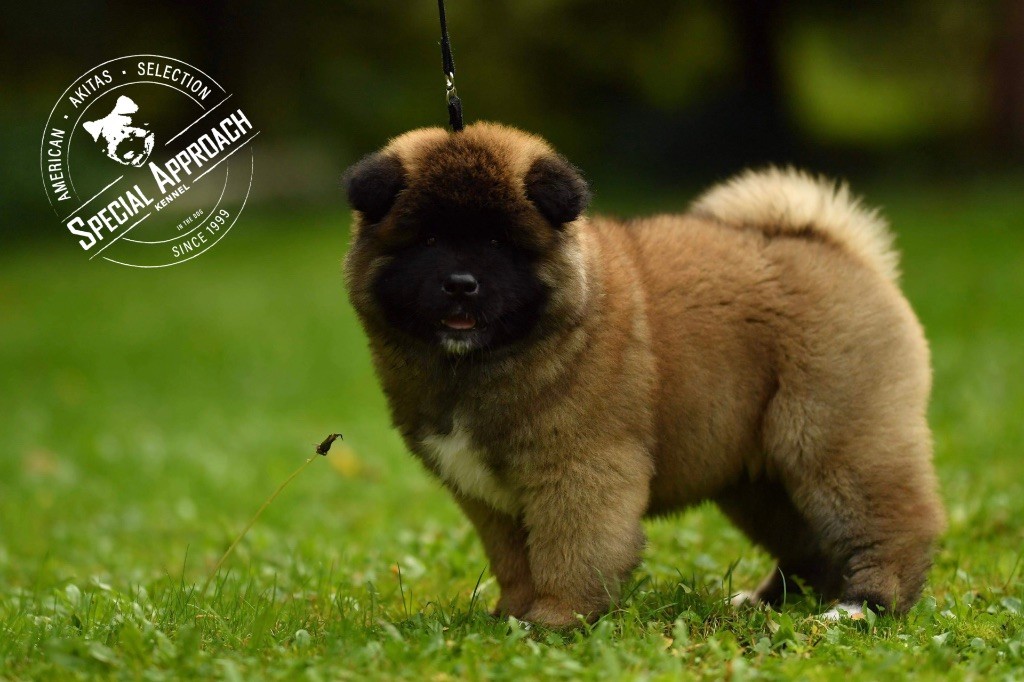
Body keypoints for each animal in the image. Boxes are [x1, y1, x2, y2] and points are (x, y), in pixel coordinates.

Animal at [341, 122, 944, 627]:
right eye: (428, 241)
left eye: (497, 243)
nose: (461, 284)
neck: (478, 364)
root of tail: (835, 247)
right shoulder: (489, 495)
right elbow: (516, 562)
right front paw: (510, 618)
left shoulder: (580, 470)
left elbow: (570, 553)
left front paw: (554, 621)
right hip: (758, 476)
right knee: (809, 544)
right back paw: (765, 601)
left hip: (832, 439)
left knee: (891, 524)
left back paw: (862, 608)